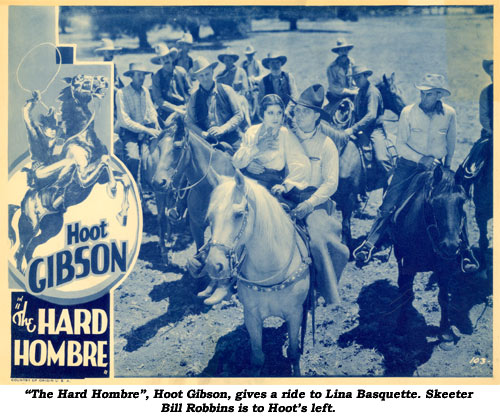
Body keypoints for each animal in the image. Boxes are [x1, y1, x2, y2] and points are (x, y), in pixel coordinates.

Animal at [9, 74, 132, 272]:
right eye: (79, 80)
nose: (103, 80)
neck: (83, 138)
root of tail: (21, 205)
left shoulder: (99, 179)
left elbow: (124, 177)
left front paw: (123, 214)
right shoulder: (83, 177)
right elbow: (105, 161)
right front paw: (112, 190)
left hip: (51, 228)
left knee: (30, 250)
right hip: (29, 227)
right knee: (19, 253)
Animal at [205, 171, 310, 378]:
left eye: (238, 214)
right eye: (210, 217)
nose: (214, 265)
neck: (271, 271)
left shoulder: (295, 313)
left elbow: (293, 352)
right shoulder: (251, 316)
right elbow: (257, 357)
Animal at [390, 166, 468, 346]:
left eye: (462, 202)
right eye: (435, 203)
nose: (451, 245)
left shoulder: (445, 269)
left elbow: (443, 297)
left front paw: (445, 332)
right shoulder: (408, 266)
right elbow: (406, 294)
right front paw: (400, 329)